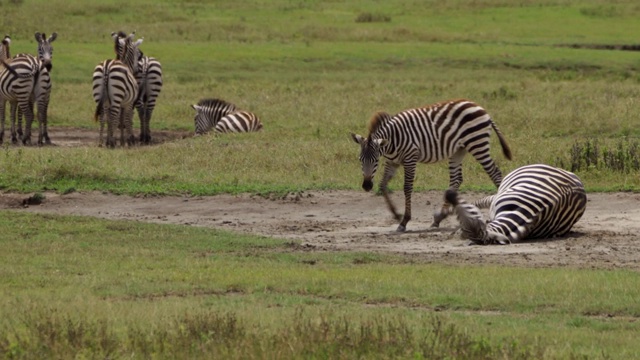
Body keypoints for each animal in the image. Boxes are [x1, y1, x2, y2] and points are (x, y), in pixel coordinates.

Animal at [350, 99, 510, 233]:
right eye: (360, 160)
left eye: (375, 160)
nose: (366, 186)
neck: (392, 142)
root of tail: (480, 107)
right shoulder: (392, 162)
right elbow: (383, 185)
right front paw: (396, 214)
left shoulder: (410, 158)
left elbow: (407, 188)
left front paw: (404, 221)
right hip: (459, 149)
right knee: (456, 179)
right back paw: (439, 217)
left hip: (477, 144)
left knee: (495, 173)